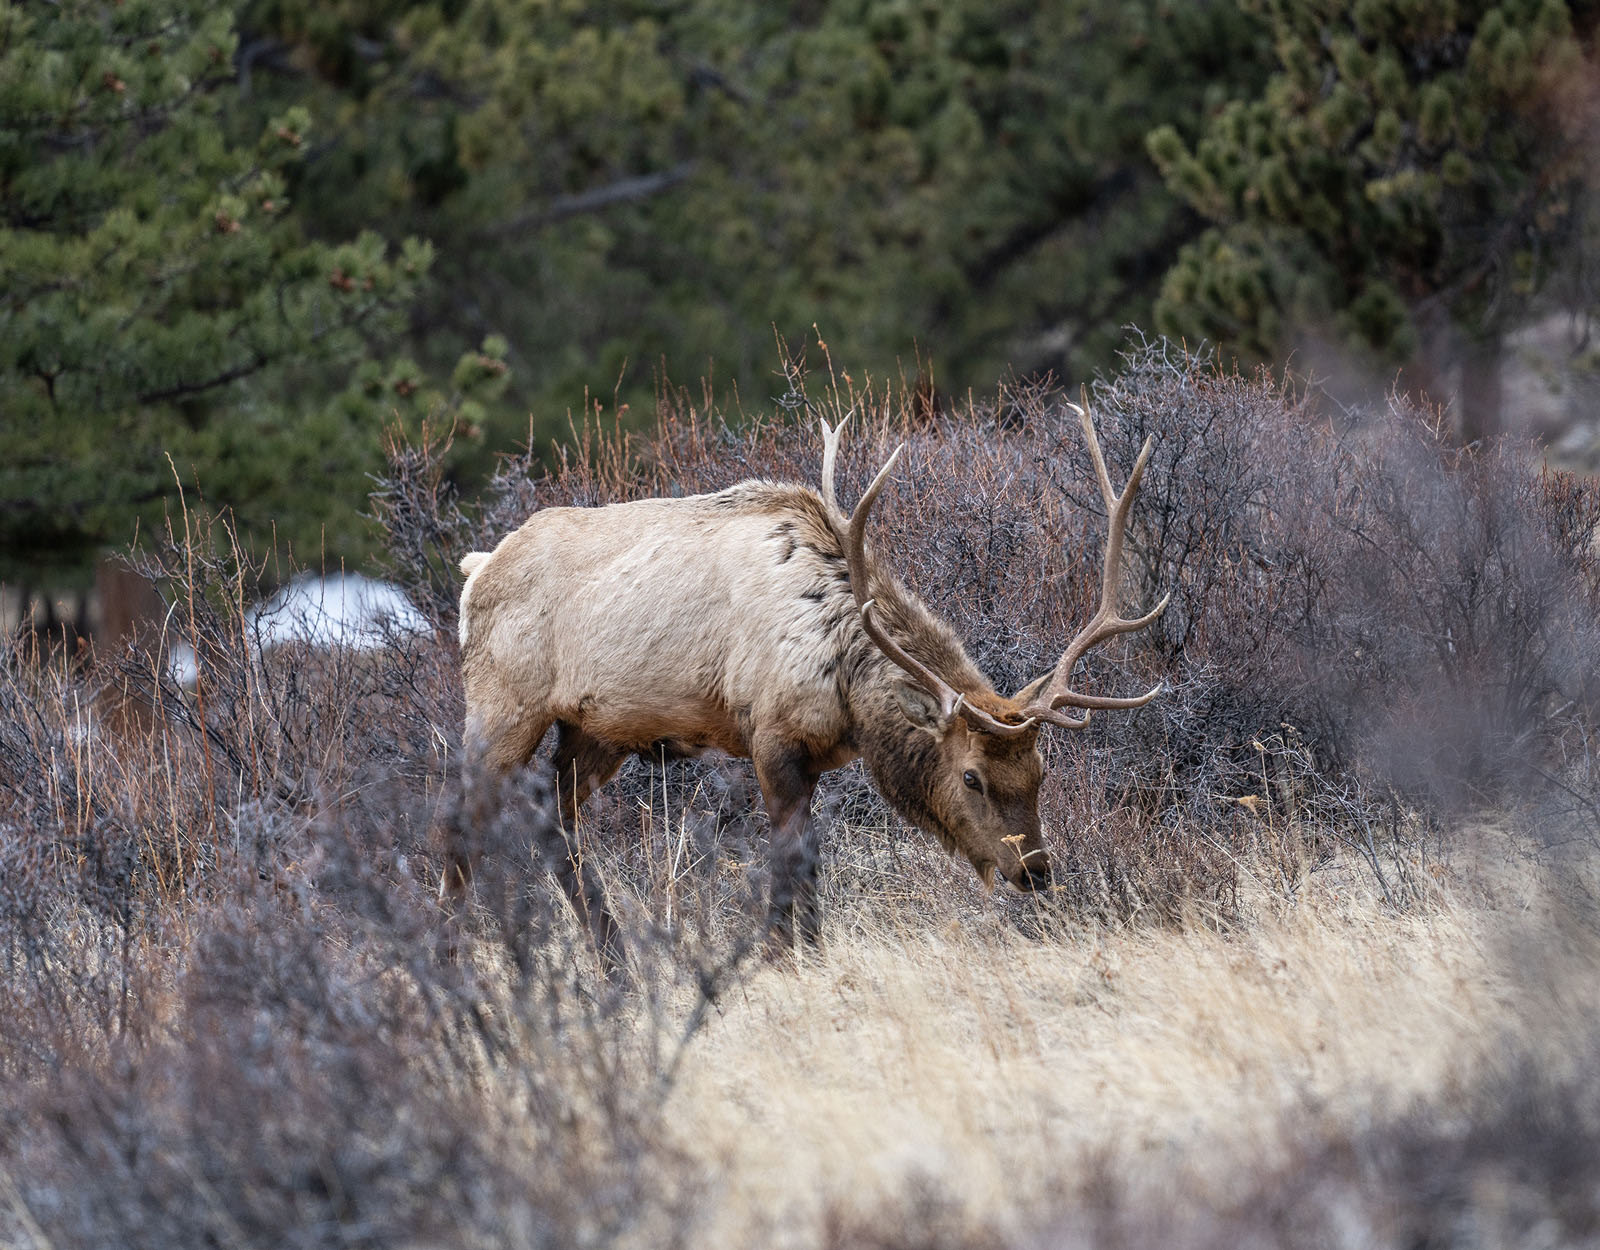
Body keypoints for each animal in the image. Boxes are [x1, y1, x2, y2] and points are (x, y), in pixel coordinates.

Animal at [445, 401, 1167, 967]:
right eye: (971, 777)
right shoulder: (768, 734)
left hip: (598, 727)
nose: (1035, 869)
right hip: (502, 701)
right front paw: (774, 954)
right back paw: (449, 954)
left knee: (553, 814)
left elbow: (813, 855)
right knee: (461, 813)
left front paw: (812, 951)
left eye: (1040, 772)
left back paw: (613, 954)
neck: (844, 682)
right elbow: (790, 853)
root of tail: (476, 570)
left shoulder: (816, 755)